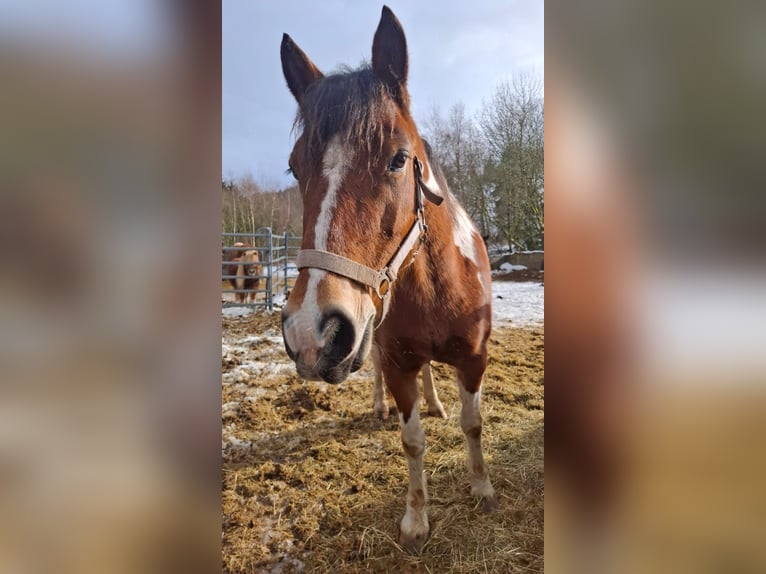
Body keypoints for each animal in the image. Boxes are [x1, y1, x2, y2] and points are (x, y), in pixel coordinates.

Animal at [279, 6, 497, 553]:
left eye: (399, 158)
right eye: (293, 167)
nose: (311, 333)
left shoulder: (475, 358)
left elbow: (472, 423)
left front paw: (482, 489)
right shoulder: (396, 361)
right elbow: (411, 440)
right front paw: (416, 520)